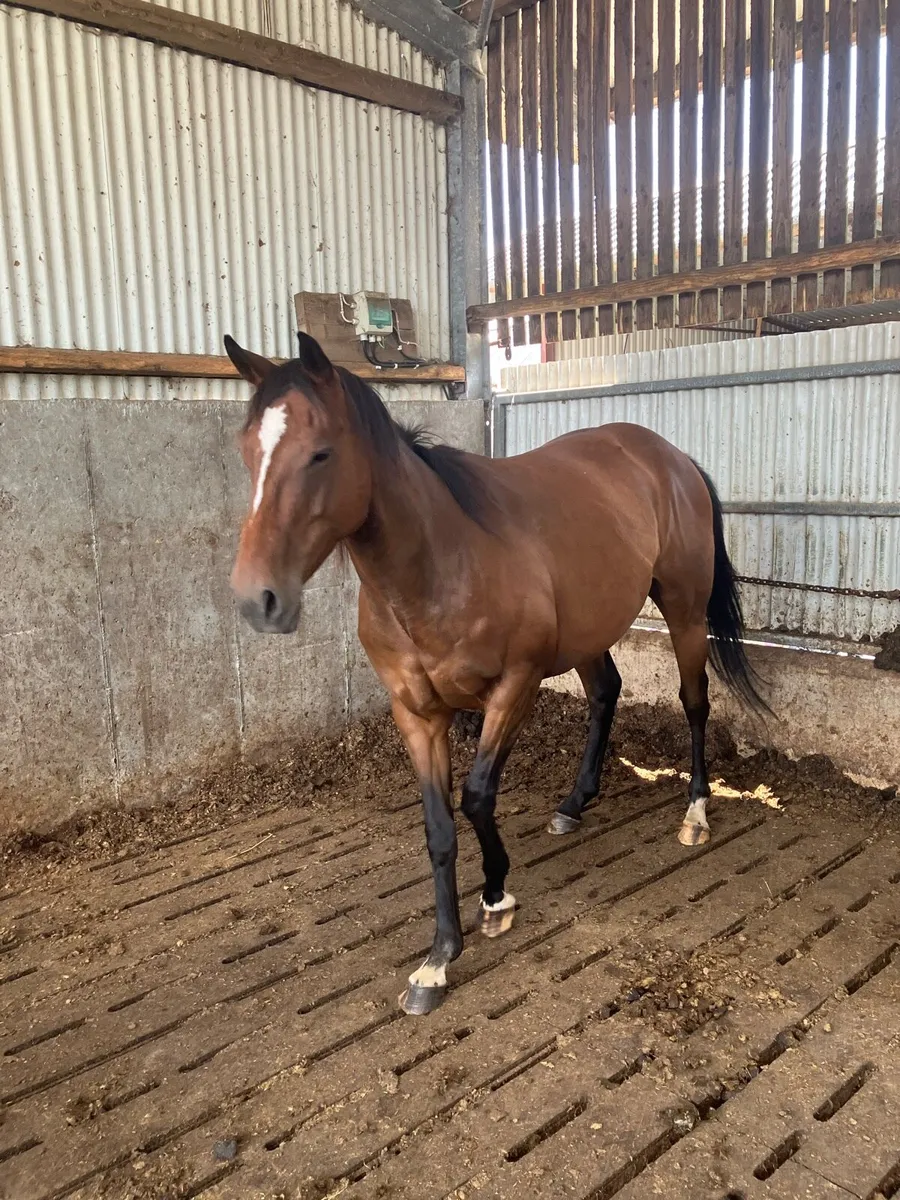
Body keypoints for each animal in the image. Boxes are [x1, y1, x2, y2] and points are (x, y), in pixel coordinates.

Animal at [224, 331, 768, 1017]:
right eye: (248, 451)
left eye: (320, 453)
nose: (256, 599)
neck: (442, 562)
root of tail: (670, 457)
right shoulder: (416, 713)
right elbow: (439, 826)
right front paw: (437, 960)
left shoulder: (515, 688)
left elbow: (479, 797)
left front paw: (496, 897)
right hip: (589, 629)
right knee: (606, 693)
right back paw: (574, 803)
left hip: (685, 610)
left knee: (695, 701)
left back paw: (695, 813)